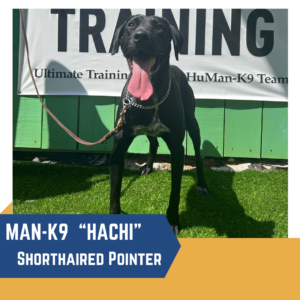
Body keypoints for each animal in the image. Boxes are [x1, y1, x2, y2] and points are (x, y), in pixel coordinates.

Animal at [110, 14, 209, 234]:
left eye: (160, 27)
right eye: (131, 25)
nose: (141, 37)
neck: (150, 97)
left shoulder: (177, 148)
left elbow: (175, 192)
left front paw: (172, 221)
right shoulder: (119, 146)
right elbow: (114, 191)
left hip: (193, 123)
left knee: (198, 154)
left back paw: (202, 184)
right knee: (154, 143)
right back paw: (147, 166)